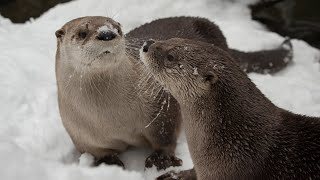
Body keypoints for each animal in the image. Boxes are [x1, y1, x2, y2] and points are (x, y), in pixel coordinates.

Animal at [55, 15, 292, 170]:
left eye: (117, 28)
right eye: (82, 33)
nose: (107, 33)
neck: (112, 116)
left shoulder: (159, 107)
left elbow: (165, 135)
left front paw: (162, 160)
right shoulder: (80, 133)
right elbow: (95, 150)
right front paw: (106, 161)